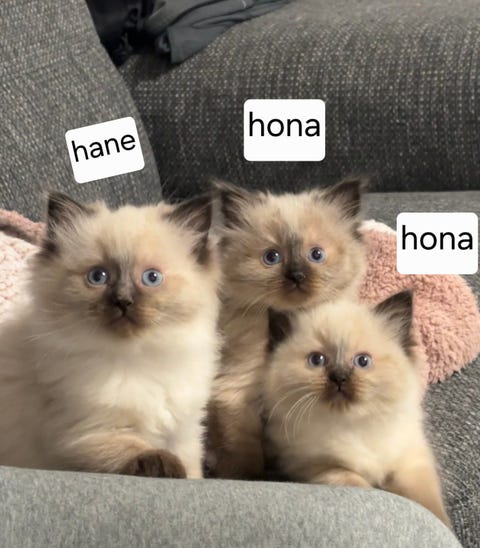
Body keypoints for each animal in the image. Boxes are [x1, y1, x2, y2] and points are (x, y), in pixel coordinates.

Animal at [0, 191, 219, 478]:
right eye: (98, 276)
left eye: (151, 278)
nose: (123, 302)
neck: (139, 358)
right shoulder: (87, 432)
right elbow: (136, 449)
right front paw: (167, 467)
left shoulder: (184, 434)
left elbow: (193, 471)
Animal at [206, 178, 367, 479]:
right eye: (272, 257)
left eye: (316, 254)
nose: (297, 276)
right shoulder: (237, 392)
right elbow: (245, 456)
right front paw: (250, 478)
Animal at [264, 291, 451, 527]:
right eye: (317, 360)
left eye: (363, 361)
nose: (339, 377)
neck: (354, 425)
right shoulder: (313, 466)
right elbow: (356, 483)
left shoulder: (411, 460)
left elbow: (427, 501)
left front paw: (445, 526)